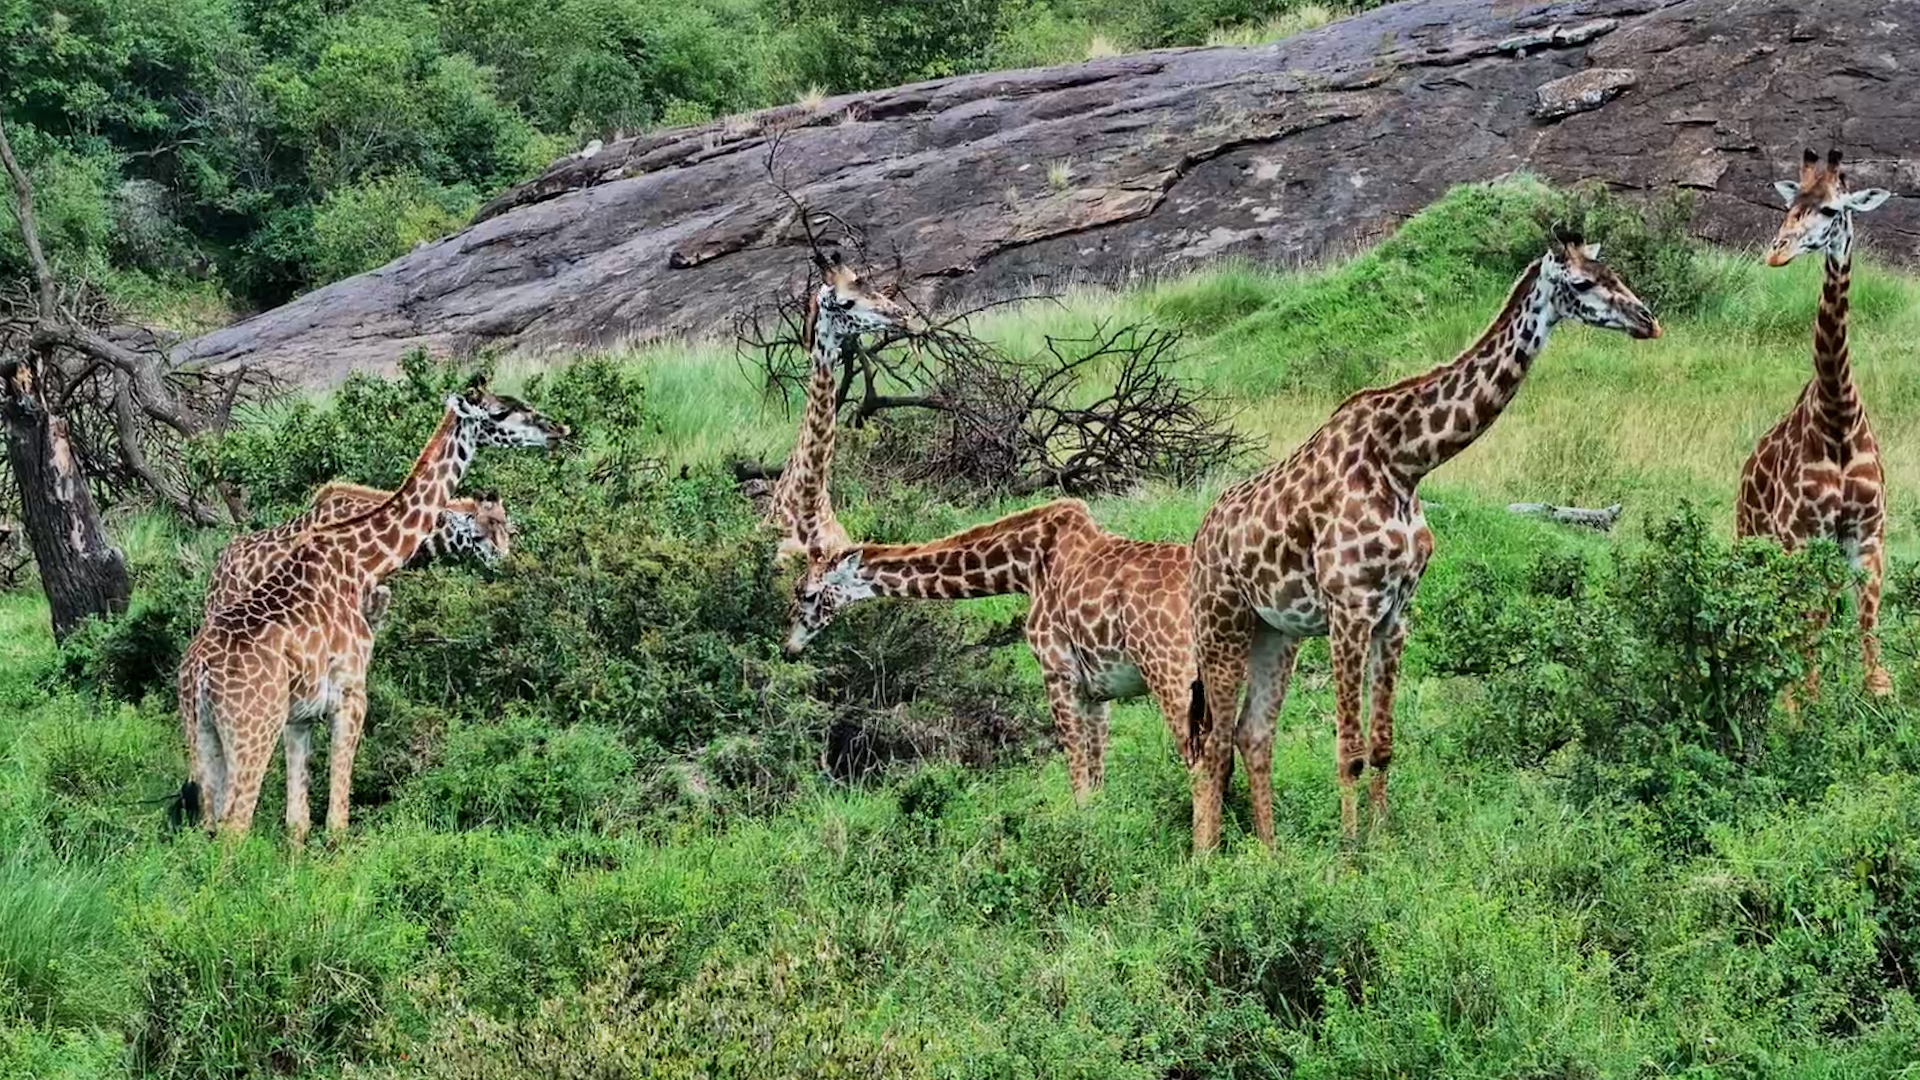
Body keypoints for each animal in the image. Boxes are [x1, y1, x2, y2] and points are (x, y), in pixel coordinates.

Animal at [178, 385, 564, 841]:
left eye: (510, 529)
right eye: (502, 412)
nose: (557, 430)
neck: (361, 557)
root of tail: (200, 671)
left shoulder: (301, 716)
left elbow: (298, 821)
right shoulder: (352, 693)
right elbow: (337, 820)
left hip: (202, 730)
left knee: (207, 823)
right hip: (254, 726)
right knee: (234, 827)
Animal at [786, 499, 1195, 801]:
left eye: (808, 594)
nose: (789, 647)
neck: (1026, 565)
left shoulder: (1058, 672)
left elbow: (1077, 768)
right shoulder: (1098, 687)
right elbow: (1095, 771)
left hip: (1172, 672)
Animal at [1187, 225, 1661, 851]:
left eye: (1617, 273)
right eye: (1583, 283)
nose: (1648, 320)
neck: (1406, 464)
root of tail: (1199, 539)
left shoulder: (1395, 614)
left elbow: (1383, 746)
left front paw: (1383, 844)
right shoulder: (1349, 609)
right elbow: (1349, 751)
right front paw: (1349, 855)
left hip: (1275, 633)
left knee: (1252, 734)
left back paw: (1271, 856)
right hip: (1221, 624)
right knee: (1211, 743)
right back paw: (1208, 860)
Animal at [1737, 148, 1895, 698]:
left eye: (1830, 210)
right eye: (1791, 205)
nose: (1776, 253)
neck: (1838, 417)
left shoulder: (1867, 535)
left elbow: (1865, 628)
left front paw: (1878, 694)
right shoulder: (1802, 536)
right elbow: (1808, 629)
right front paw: (1798, 703)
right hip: (1751, 536)